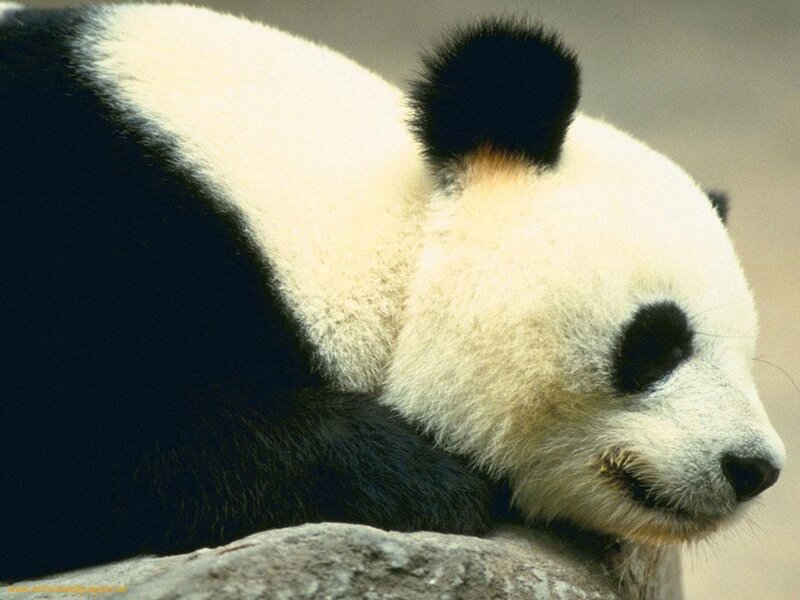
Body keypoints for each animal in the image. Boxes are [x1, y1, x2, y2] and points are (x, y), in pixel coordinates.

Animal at [0, 3, 785, 581]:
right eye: (658, 340)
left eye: (745, 354)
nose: (753, 467)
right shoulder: (95, 217)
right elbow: (83, 437)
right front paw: (417, 477)